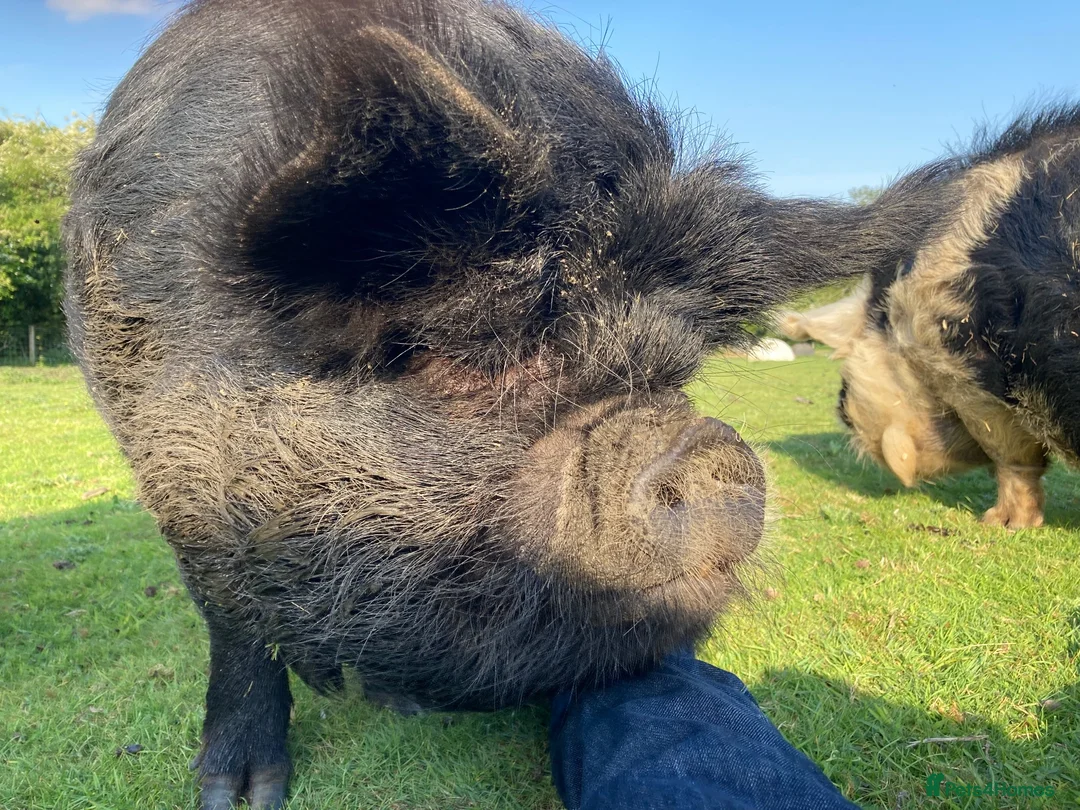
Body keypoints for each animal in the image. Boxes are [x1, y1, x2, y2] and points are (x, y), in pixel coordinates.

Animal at [63, 1, 868, 806]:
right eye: (466, 359)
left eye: (679, 367)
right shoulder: (174, 473)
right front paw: (239, 794)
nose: (708, 448)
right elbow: (235, 622)